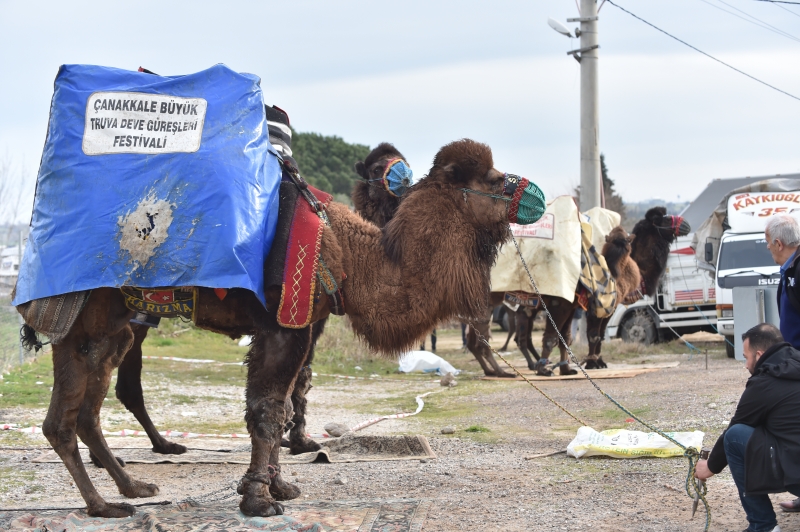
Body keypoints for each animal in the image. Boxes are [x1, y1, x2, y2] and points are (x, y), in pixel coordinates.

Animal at [23, 139, 524, 516]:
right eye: (493, 179)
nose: (526, 192)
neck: (347, 251)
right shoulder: (287, 326)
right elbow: (268, 411)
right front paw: (260, 500)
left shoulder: (288, 328)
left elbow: (276, 408)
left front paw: (277, 487)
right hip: (84, 318)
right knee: (60, 421)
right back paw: (103, 505)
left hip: (113, 325)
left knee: (86, 411)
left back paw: (133, 487)